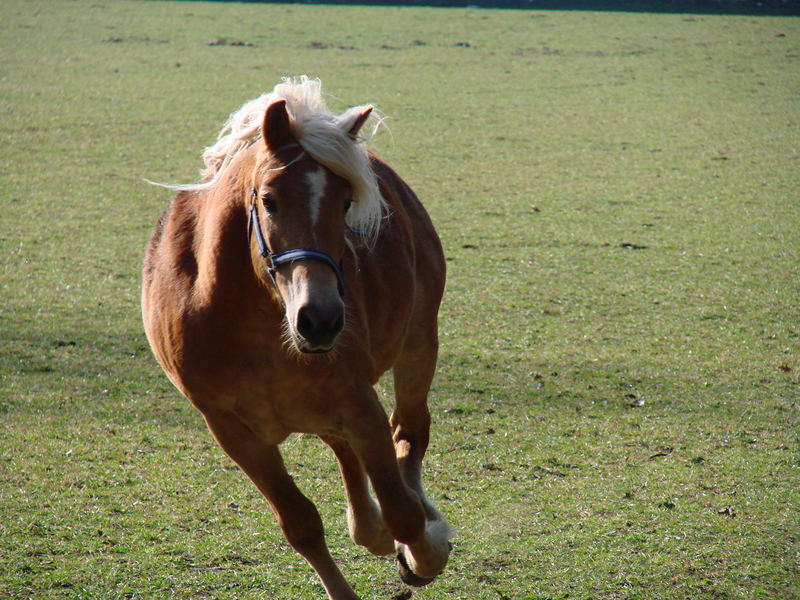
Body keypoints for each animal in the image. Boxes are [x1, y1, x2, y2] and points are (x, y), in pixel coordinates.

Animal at [141, 78, 454, 600]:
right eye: (269, 199)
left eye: (345, 202)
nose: (321, 319)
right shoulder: (232, 430)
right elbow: (301, 524)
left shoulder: (358, 402)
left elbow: (402, 508)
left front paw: (426, 550)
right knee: (348, 451)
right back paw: (368, 526)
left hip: (418, 341)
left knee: (409, 433)